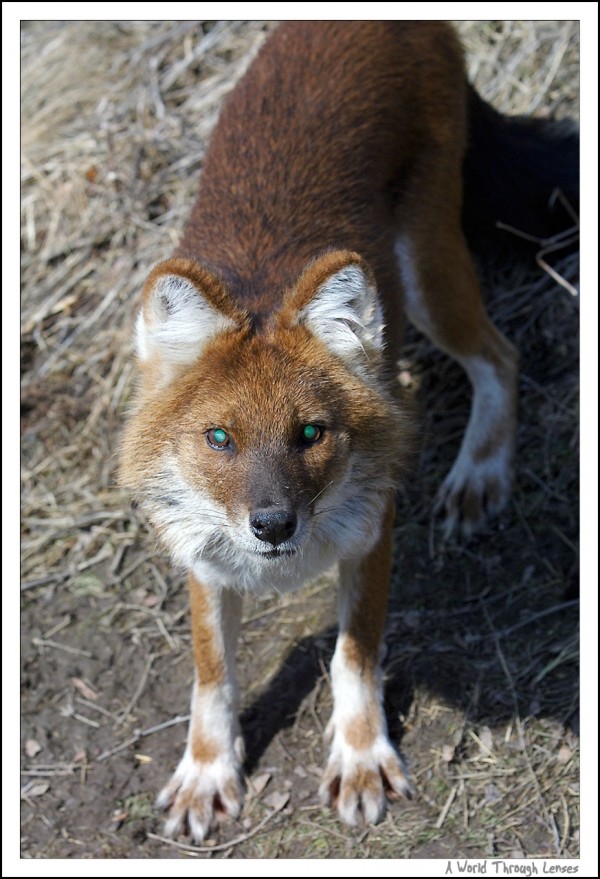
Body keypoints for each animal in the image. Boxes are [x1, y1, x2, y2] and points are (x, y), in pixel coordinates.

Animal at [119, 20, 580, 844]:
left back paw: (480, 473)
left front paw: (362, 756)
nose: (273, 524)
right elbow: (213, 672)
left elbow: (353, 654)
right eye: (218, 439)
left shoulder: (373, 527)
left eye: (311, 432)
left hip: (425, 264)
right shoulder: (202, 555)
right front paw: (207, 770)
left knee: (500, 354)